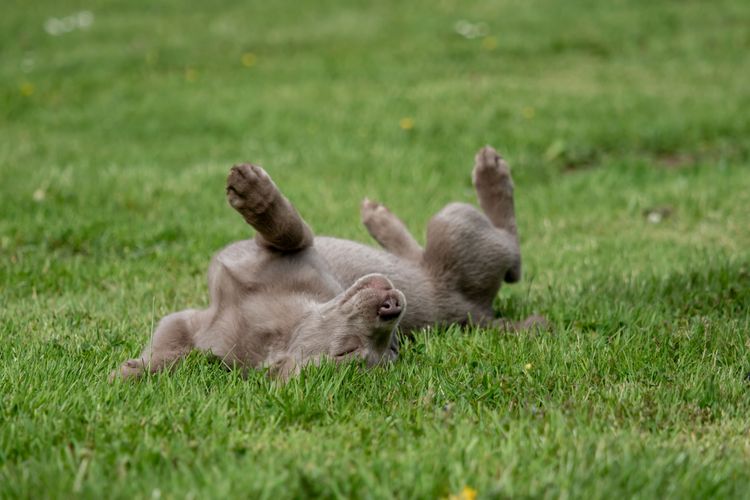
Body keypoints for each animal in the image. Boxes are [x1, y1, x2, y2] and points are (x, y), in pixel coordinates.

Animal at [111, 146, 544, 380]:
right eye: (347, 352)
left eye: (390, 349)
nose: (393, 307)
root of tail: (480, 316)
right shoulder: (187, 320)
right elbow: (172, 350)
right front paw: (134, 371)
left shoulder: (299, 246)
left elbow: (288, 227)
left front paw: (253, 192)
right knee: (418, 253)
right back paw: (378, 218)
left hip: (453, 225)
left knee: (512, 249)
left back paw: (490, 173)